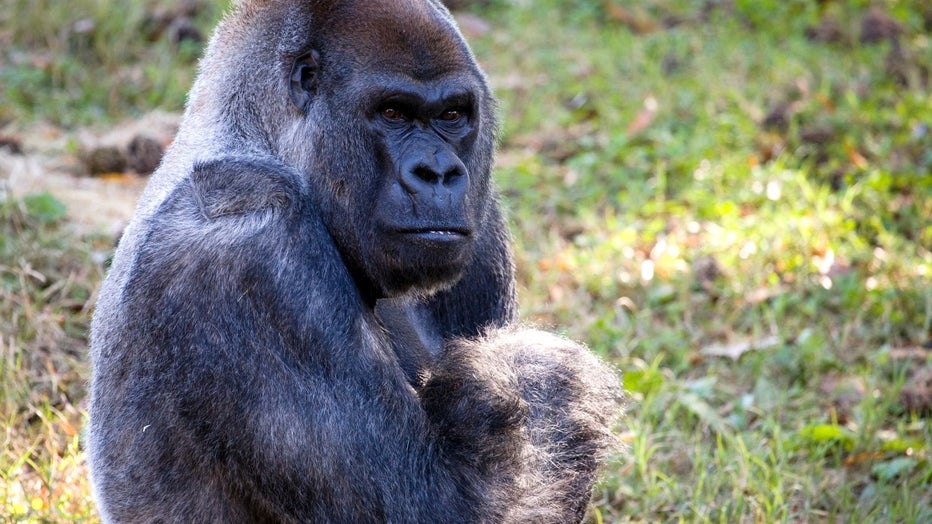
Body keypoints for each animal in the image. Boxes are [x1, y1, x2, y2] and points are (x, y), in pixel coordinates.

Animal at [87, 2, 624, 520]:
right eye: (393, 113)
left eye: (453, 115)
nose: (439, 172)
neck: (255, 135)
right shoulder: (248, 237)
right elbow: (440, 503)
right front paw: (540, 373)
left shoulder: (483, 218)